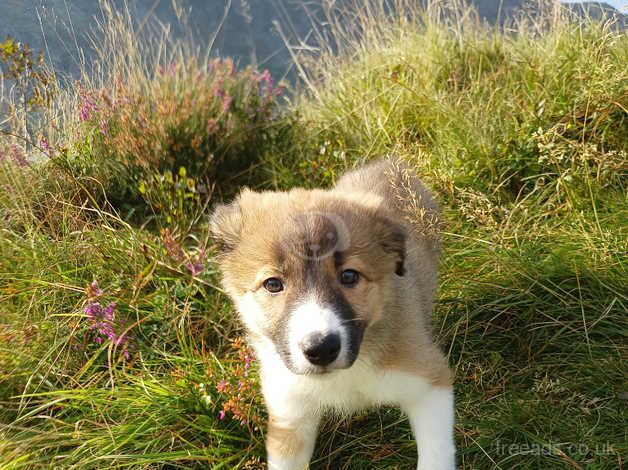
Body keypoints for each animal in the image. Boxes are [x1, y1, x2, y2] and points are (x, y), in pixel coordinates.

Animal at [209, 160, 454, 468]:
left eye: (349, 276)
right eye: (273, 284)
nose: (321, 349)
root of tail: (387, 162)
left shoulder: (429, 384)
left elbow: (436, 455)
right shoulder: (289, 417)